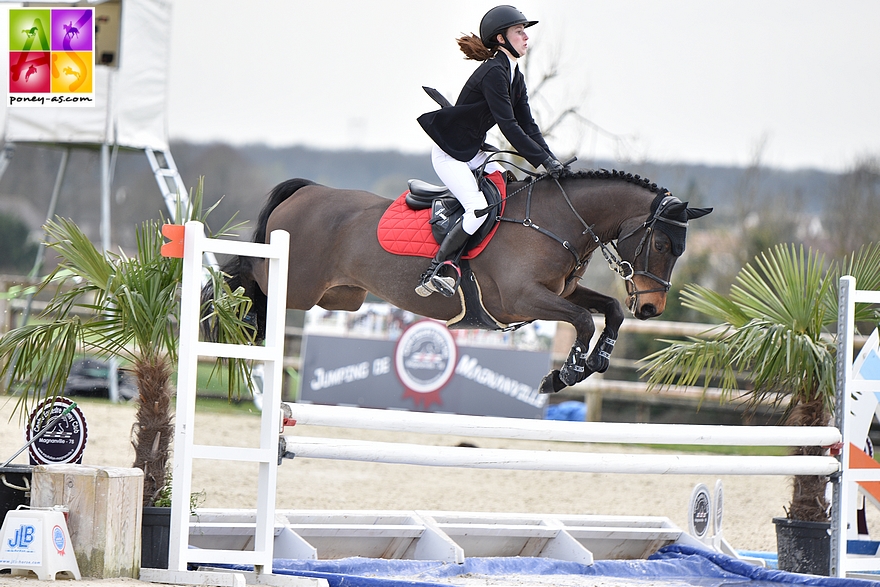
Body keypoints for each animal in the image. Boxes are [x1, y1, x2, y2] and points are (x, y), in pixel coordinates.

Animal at [210, 168, 712, 392]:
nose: (651, 308)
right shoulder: (522, 298)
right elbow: (584, 321)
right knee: (240, 277)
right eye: (662, 245)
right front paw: (565, 374)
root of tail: (308, 190)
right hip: (296, 282)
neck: (556, 220)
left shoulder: (561, 292)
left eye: (680, 250)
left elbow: (606, 312)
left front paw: (595, 362)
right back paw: (223, 321)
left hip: (339, 298)